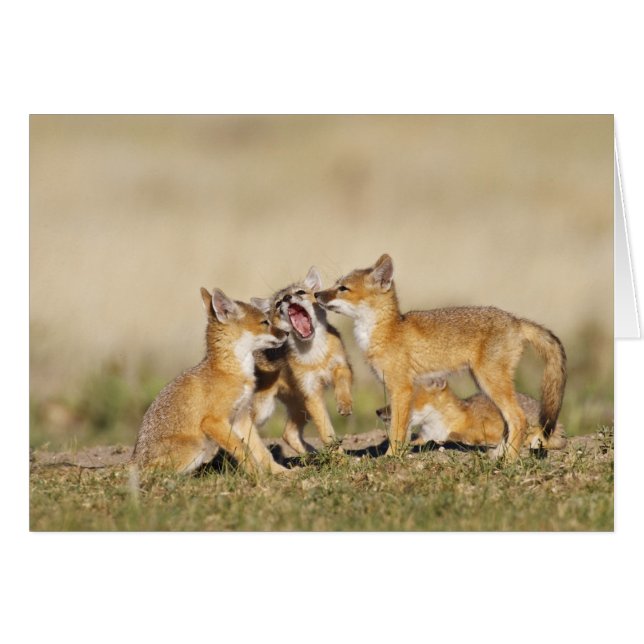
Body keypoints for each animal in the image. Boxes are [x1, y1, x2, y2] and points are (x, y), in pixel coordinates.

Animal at [132, 287, 290, 475]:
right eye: (265, 322)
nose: (287, 333)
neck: (231, 372)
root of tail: (134, 460)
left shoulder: (241, 417)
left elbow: (261, 450)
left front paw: (280, 472)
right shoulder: (212, 421)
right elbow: (241, 448)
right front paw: (256, 474)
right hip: (196, 447)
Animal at [249, 266, 353, 455]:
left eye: (300, 292)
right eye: (278, 303)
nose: (287, 298)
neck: (315, 356)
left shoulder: (342, 366)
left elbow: (342, 385)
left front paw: (344, 403)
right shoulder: (311, 393)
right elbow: (326, 432)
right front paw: (339, 457)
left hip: (299, 407)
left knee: (287, 434)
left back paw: (311, 455)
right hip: (264, 410)